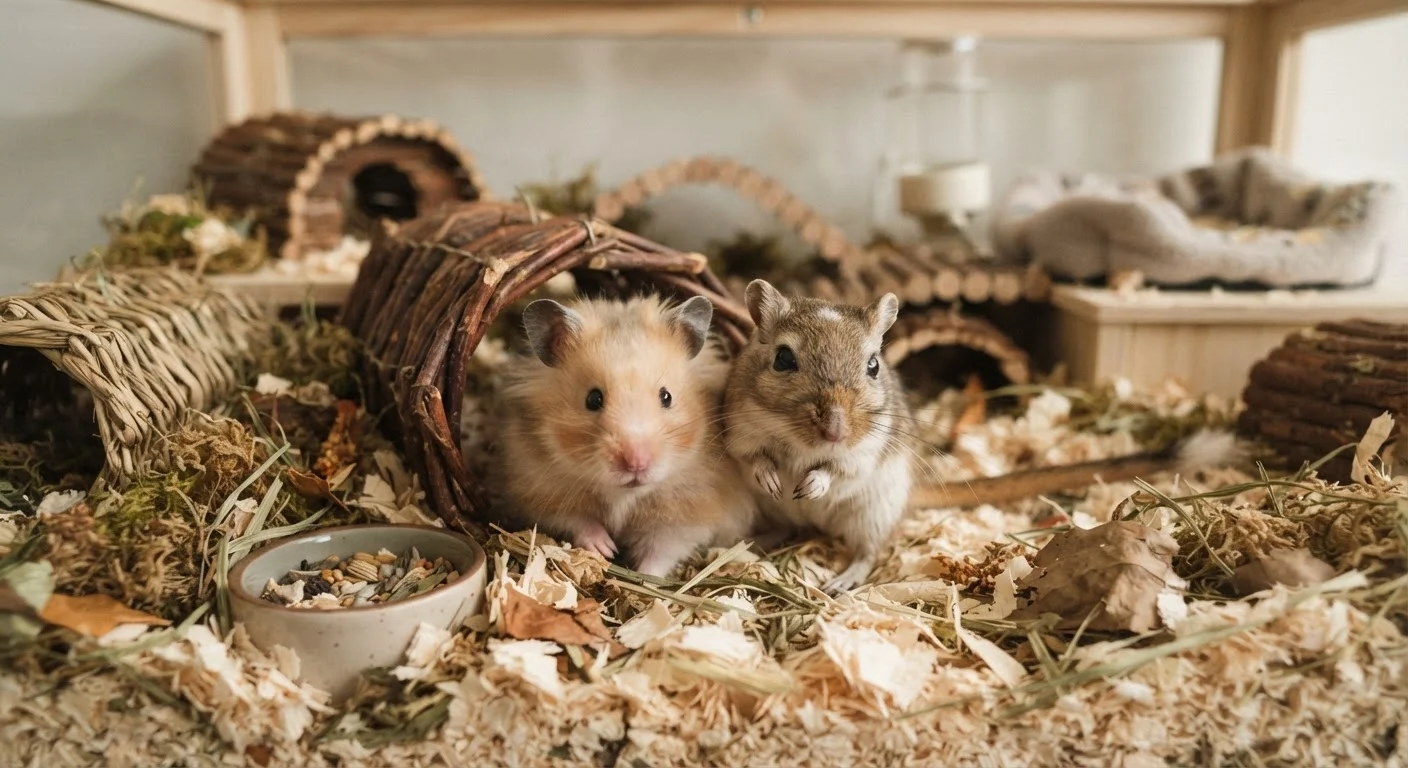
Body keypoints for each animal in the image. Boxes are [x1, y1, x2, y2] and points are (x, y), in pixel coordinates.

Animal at [494, 293, 756, 578]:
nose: (636, 464)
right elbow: (577, 521)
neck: (625, 496)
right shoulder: (541, 493)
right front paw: (606, 549)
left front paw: (645, 576)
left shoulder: (689, 513)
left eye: (667, 397)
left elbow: (662, 549)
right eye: (593, 399)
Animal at [723, 279, 912, 593]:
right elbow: (755, 458)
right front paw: (773, 481)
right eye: (783, 358)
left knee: (868, 553)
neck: (801, 443)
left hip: (874, 513)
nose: (836, 434)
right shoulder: (740, 434)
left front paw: (810, 487)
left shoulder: (862, 455)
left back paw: (840, 582)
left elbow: (835, 469)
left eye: (873, 365)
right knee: (786, 527)